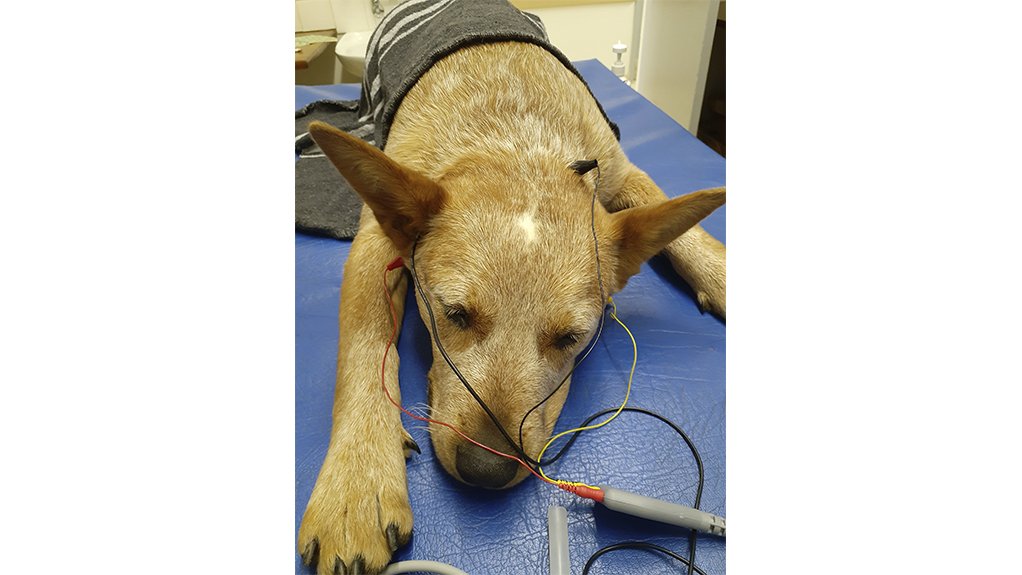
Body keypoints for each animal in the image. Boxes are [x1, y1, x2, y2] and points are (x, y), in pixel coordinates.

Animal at [298, 42, 727, 571]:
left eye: (571, 338)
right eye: (454, 314)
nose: (485, 469)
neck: (516, 142)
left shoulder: (622, 170)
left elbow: (682, 227)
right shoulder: (376, 240)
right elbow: (364, 339)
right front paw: (356, 483)